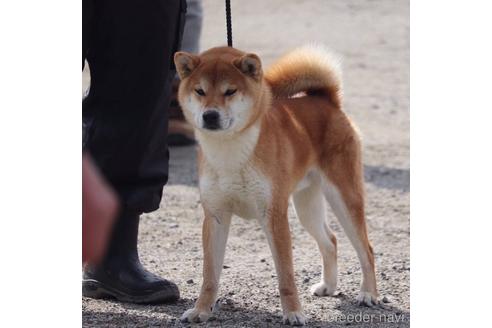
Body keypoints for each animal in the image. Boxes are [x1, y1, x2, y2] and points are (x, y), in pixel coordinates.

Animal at [175, 44, 378, 326]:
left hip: (344, 199)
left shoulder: (273, 215)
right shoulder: (215, 216)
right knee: (331, 240)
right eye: (200, 91)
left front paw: (293, 312)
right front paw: (201, 310)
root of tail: (326, 101)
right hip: (306, 208)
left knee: (366, 250)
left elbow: (285, 275)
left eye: (230, 91)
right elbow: (210, 275)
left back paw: (369, 294)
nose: (210, 115)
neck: (230, 153)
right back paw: (328, 286)